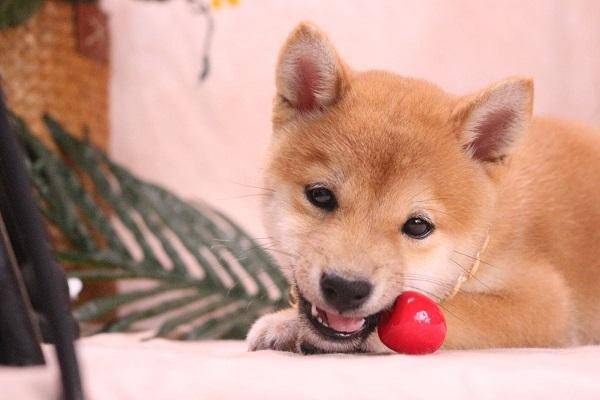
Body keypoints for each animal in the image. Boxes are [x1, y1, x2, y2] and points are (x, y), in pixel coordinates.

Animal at [245, 21, 600, 354]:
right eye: (320, 196)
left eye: (418, 226)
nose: (345, 288)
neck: (489, 231)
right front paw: (286, 323)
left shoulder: (545, 302)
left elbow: (456, 310)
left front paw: (287, 322)